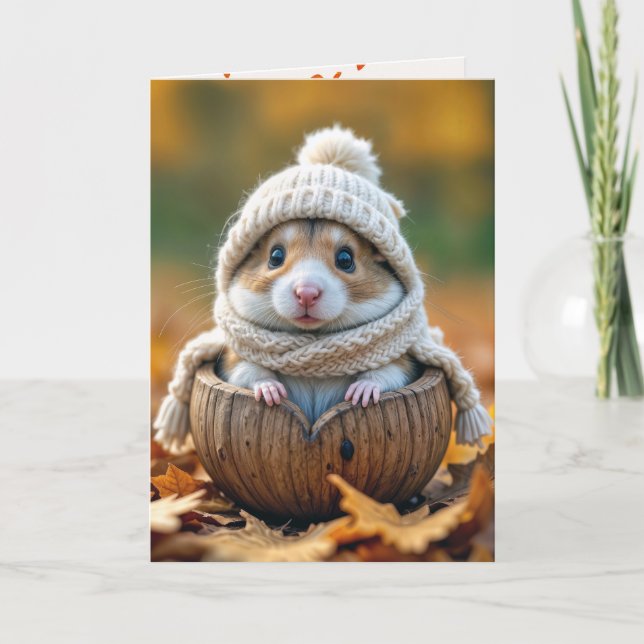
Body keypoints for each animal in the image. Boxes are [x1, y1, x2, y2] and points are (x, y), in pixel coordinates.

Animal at [219, 219, 419, 422]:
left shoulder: (402, 362)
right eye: (275, 256)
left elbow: (389, 370)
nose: (306, 294)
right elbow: (248, 370)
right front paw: (273, 393)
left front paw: (360, 395)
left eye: (345, 259)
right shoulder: (233, 359)